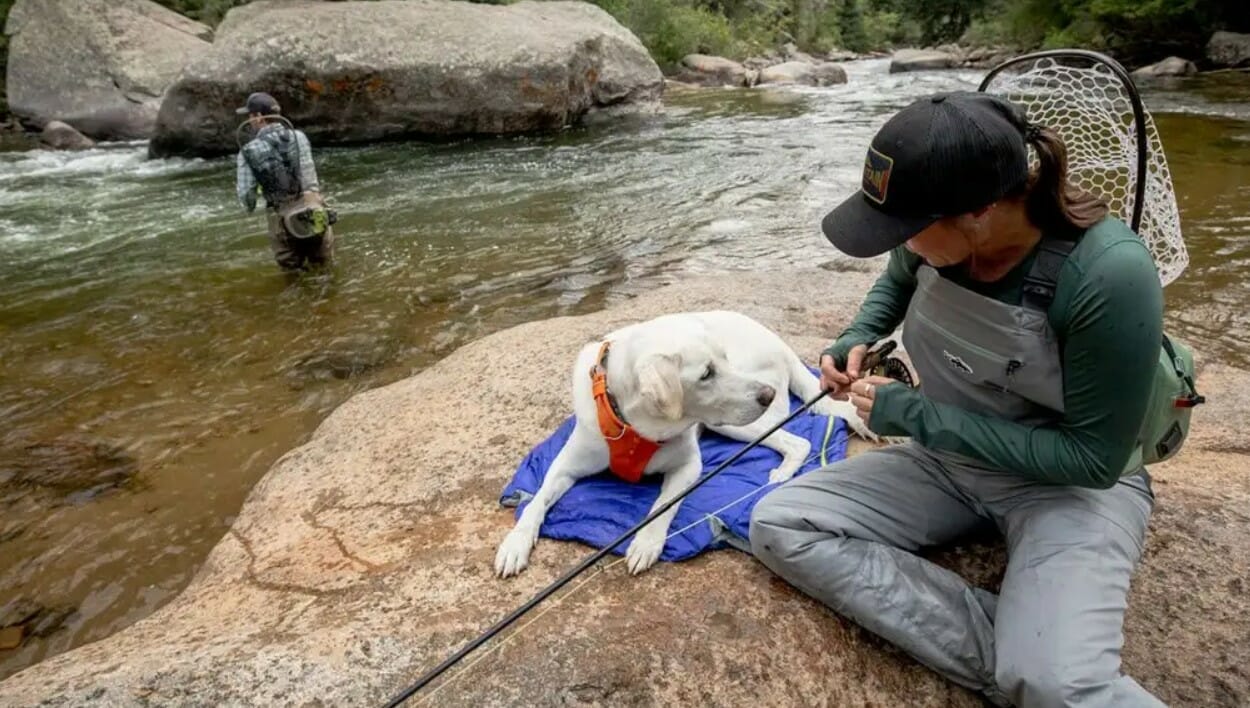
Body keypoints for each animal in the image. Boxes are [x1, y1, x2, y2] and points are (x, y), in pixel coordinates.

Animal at [492, 313, 875, 580]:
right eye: (706, 373)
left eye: (723, 359)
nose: (764, 395)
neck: (634, 424)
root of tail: (781, 344)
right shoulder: (564, 465)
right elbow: (536, 502)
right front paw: (515, 544)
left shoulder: (690, 465)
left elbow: (662, 505)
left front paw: (646, 543)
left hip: (736, 423)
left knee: (799, 441)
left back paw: (781, 474)